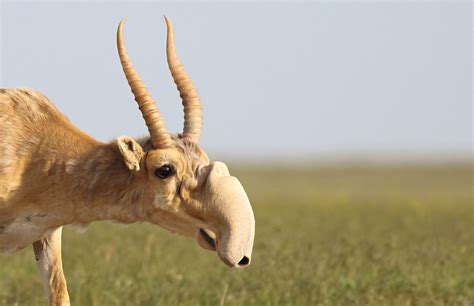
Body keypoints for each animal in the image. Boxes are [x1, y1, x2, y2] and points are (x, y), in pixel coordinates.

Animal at [0, 17, 256, 306]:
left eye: (202, 160)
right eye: (165, 169)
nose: (238, 252)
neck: (34, 152)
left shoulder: (47, 234)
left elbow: (60, 294)